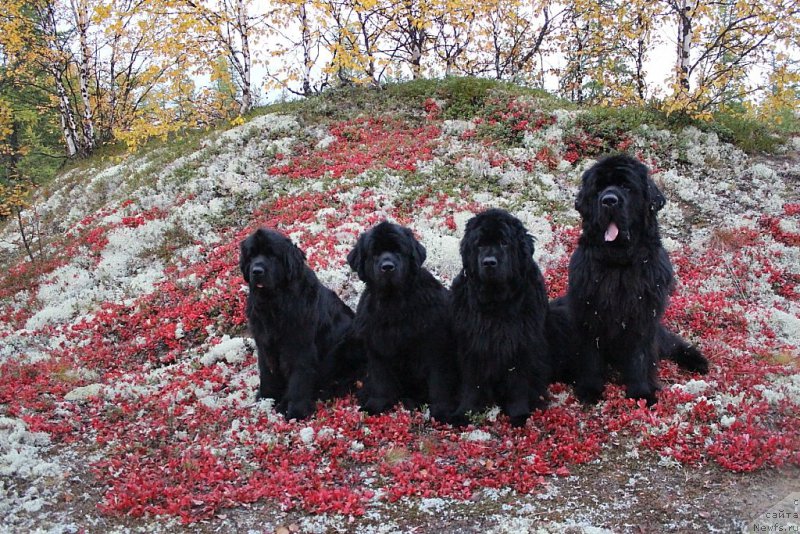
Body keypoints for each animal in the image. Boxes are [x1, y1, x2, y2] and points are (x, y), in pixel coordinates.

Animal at [238, 228, 362, 420]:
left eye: (272, 255)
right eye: (251, 255)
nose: (256, 271)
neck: (273, 303)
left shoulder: (300, 347)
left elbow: (299, 378)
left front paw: (295, 410)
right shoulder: (265, 344)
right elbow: (266, 373)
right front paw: (266, 399)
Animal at [348, 222, 460, 422]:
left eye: (398, 250)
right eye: (374, 252)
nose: (387, 267)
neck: (393, 302)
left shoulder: (435, 347)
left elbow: (439, 382)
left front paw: (442, 411)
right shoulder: (376, 347)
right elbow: (380, 379)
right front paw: (375, 406)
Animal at [450, 209, 552, 428]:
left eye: (504, 242)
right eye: (479, 244)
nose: (489, 262)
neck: (496, 303)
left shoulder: (521, 344)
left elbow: (518, 382)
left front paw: (519, 414)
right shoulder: (472, 345)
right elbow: (472, 383)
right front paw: (464, 413)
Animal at [552, 155, 712, 406]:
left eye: (626, 186)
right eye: (599, 188)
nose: (609, 201)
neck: (619, 263)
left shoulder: (644, 315)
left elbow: (641, 356)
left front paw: (641, 393)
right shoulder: (589, 313)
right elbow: (590, 354)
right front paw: (590, 389)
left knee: (671, 343)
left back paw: (696, 360)